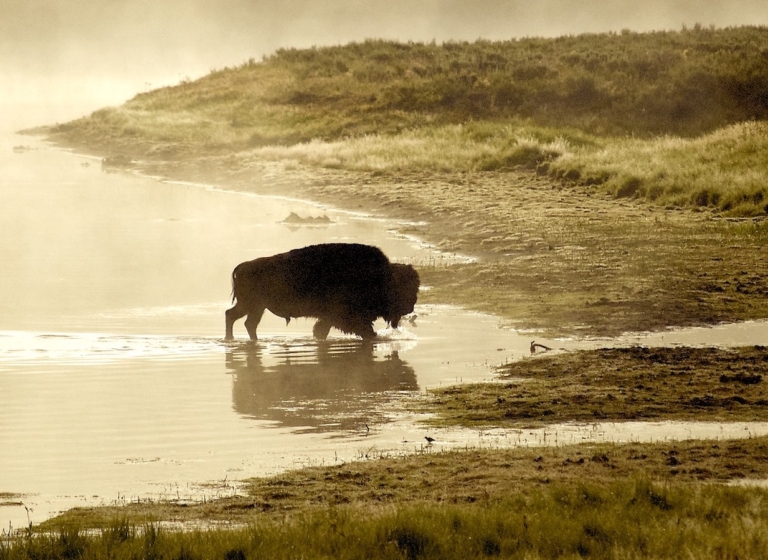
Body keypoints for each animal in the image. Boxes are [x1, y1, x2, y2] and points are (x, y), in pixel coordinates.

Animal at [225, 242, 420, 340]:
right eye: (403, 288)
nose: (410, 307)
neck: (382, 276)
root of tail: (242, 267)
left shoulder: (329, 318)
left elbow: (320, 331)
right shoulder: (346, 317)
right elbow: (365, 331)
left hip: (256, 307)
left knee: (244, 321)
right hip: (251, 305)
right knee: (234, 317)